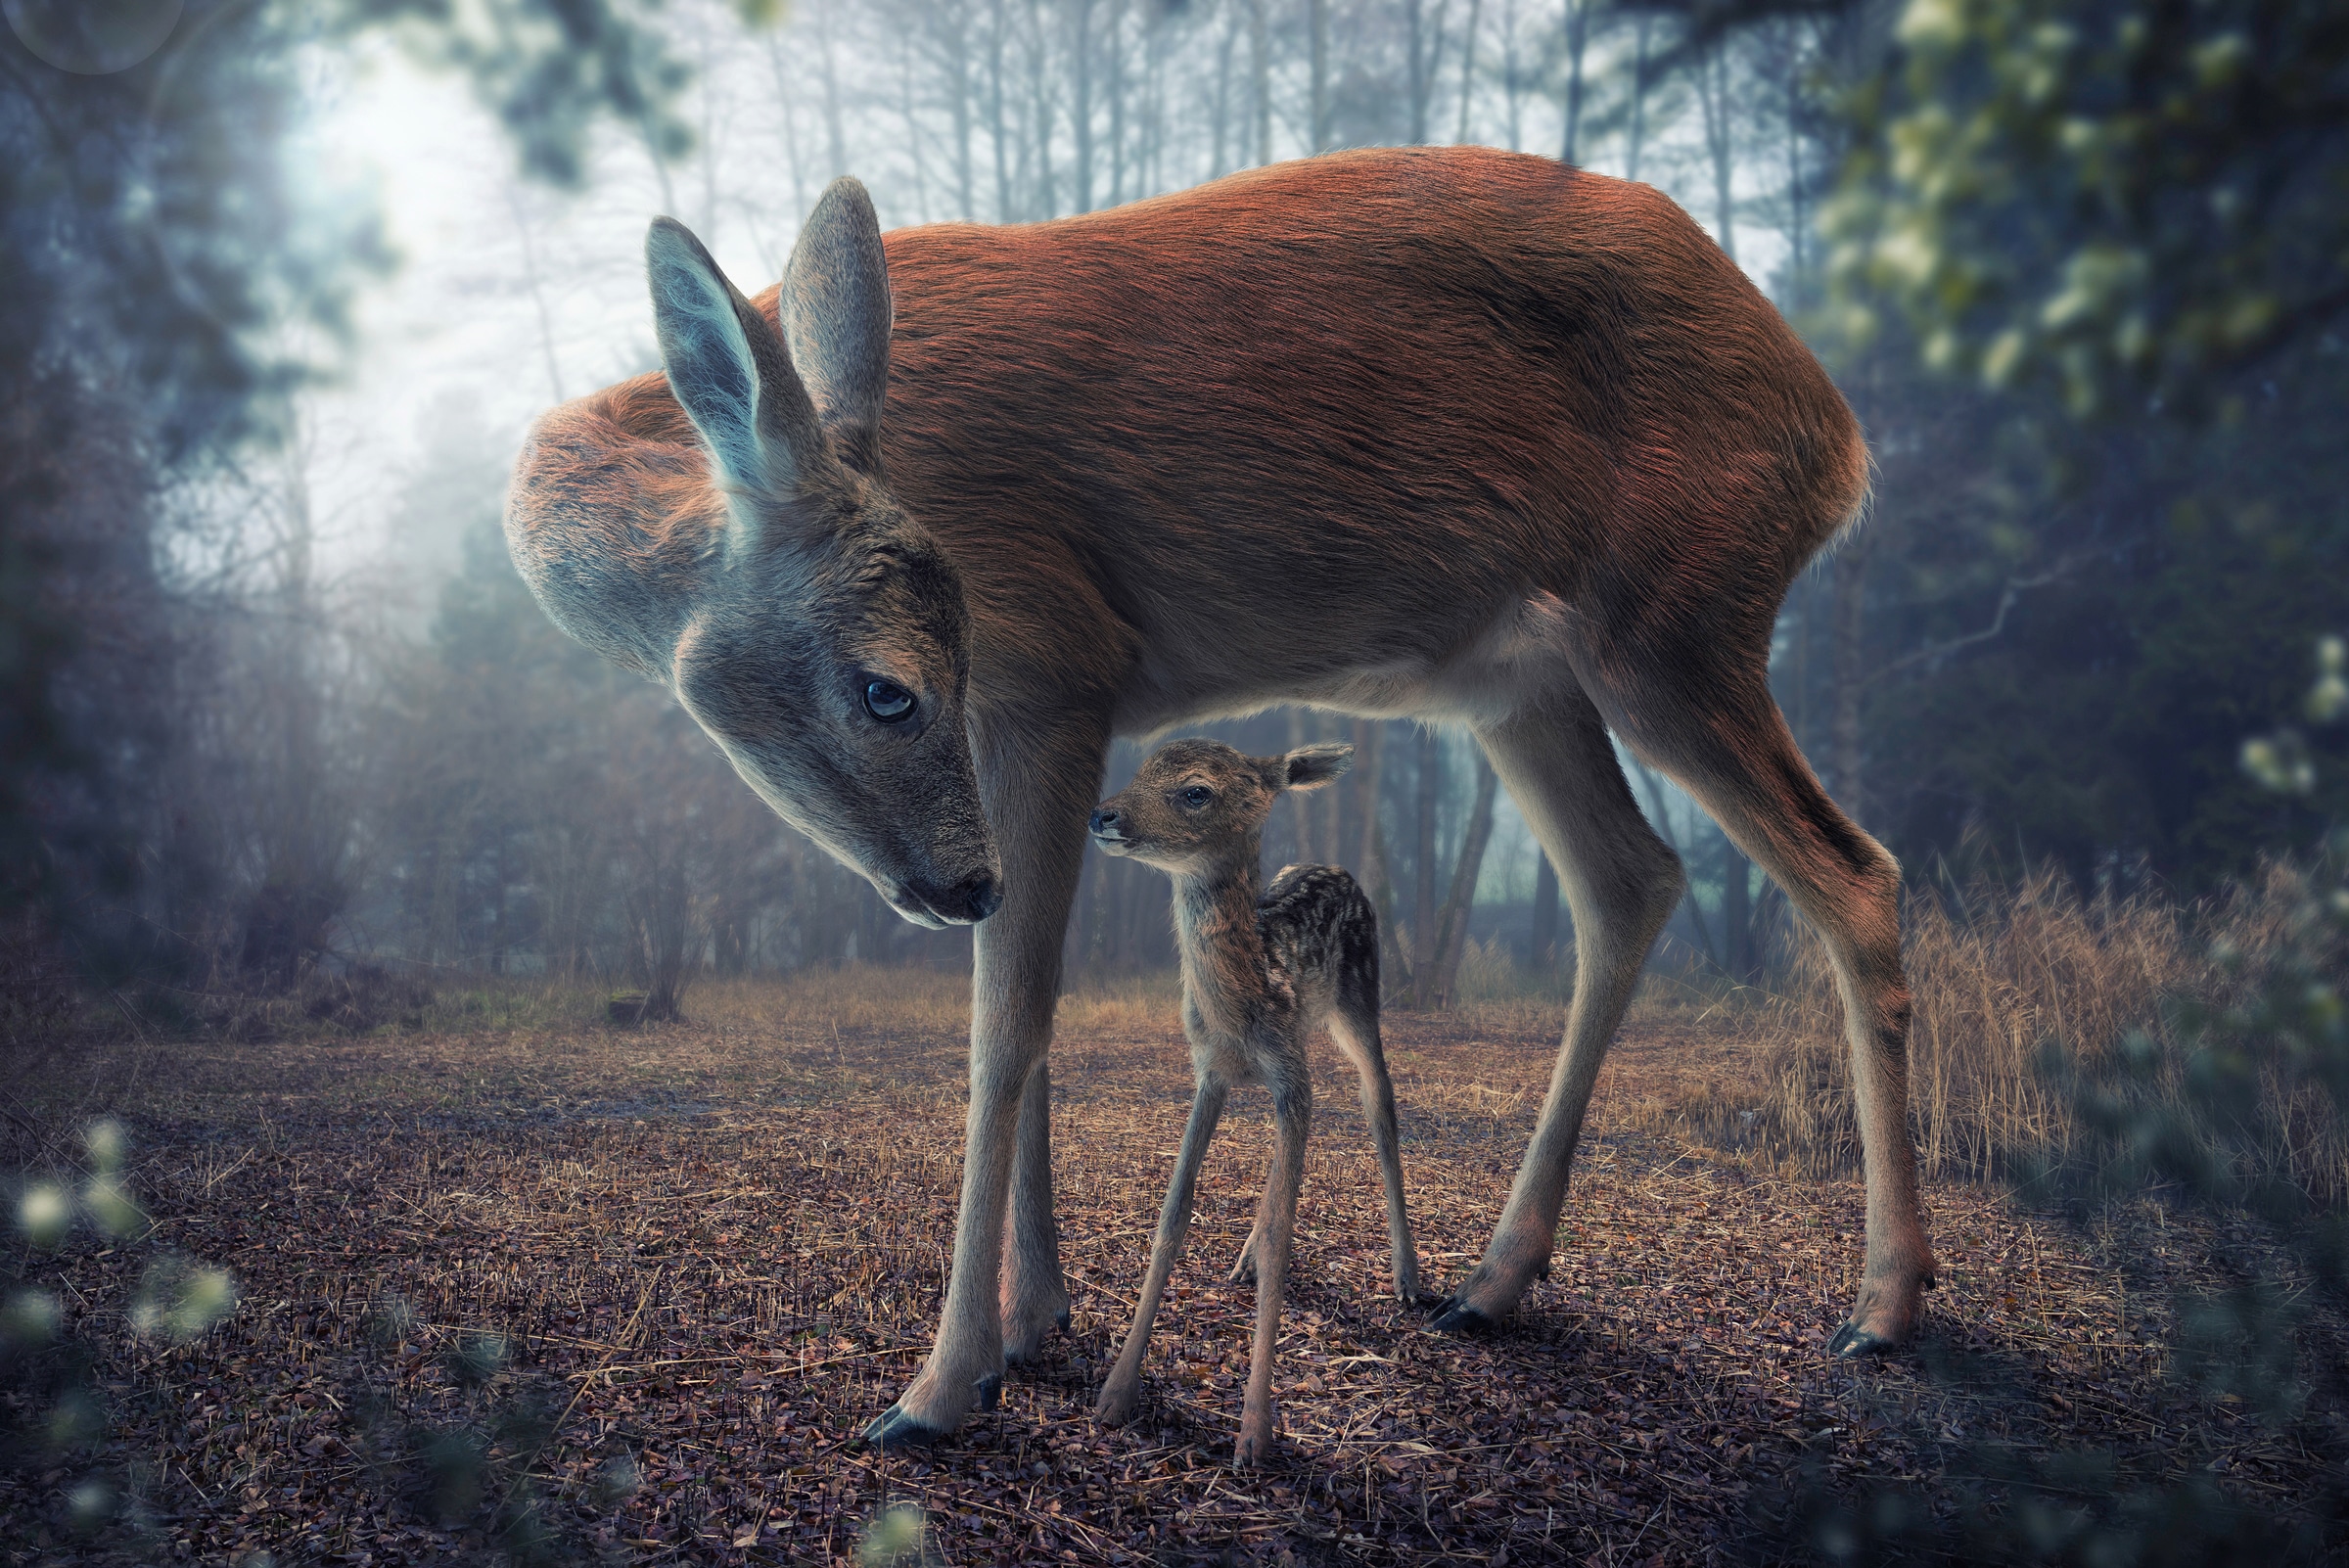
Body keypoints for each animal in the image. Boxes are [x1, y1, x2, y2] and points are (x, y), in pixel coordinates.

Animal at [514, 146, 1945, 1446]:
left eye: (893, 687)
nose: (954, 881)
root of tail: (1841, 435)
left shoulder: (1060, 662)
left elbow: (1008, 1025)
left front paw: (941, 1383)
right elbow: (1034, 1011)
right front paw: (1036, 1324)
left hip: (1675, 618)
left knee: (1855, 872)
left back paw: (1881, 1307)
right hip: (1518, 679)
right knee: (1631, 877)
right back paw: (1490, 1283)